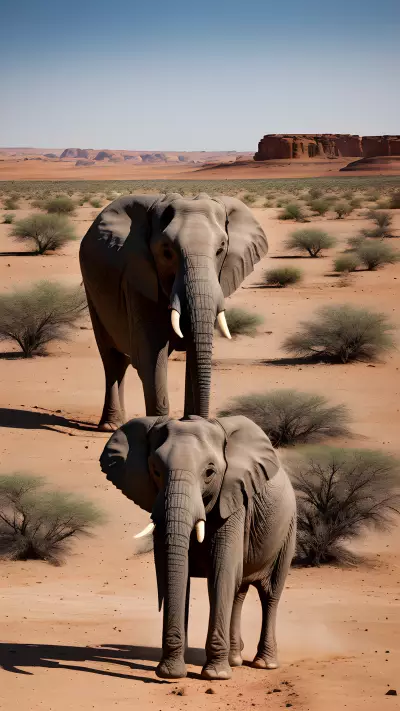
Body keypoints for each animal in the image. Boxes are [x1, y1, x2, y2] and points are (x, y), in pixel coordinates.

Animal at [79, 194, 268, 429]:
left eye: (220, 249)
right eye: (167, 252)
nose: (205, 420)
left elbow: (193, 355)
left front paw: (190, 422)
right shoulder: (139, 278)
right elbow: (152, 357)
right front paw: (157, 426)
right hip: (91, 292)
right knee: (112, 359)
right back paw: (110, 426)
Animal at [99, 414, 296, 680]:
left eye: (210, 472)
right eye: (155, 470)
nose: (168, 673)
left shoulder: (232, 501)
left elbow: (220, 574)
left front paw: (215, 676)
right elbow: (178, 576)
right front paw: (172, 672)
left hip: (288, 529)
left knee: (270, 594)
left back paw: (264, 664)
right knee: (238, 591)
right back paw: (235, 660)